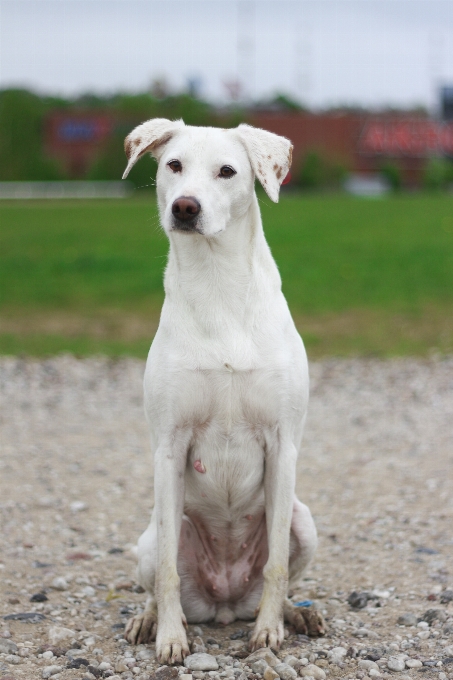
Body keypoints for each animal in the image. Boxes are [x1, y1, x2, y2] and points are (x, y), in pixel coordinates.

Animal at [120, 119, 324, 660]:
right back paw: (148, 620)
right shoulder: (169, 447)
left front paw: (270, 632)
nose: (184, 207)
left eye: (227, 171)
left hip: (304, 521)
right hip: (152, 535)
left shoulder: (283, 445)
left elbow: (276, 566)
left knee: (283, 572)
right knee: (157, 579)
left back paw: (294, 614)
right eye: (174, 165)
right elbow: (167, 577)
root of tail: (225, 602)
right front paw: (171, 639)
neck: (218, 287)